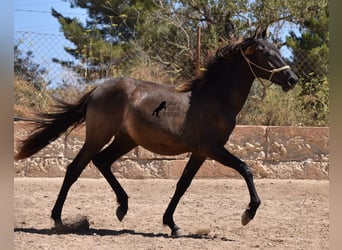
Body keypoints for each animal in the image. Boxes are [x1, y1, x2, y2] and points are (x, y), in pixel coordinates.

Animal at [14, 27, 296, 236]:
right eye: (264, 52)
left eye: (277, 50)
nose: (292, 79)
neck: (216, 98)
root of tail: (97, 89)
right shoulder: (212, 148)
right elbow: (245, 168)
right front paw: (248, 213)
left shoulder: (200, 152)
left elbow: (183, 184)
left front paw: (172, 224)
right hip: (98, 136)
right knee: (75, 168)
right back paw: (58, 219)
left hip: (125, 140)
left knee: (102, 162)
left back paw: (122, 208)